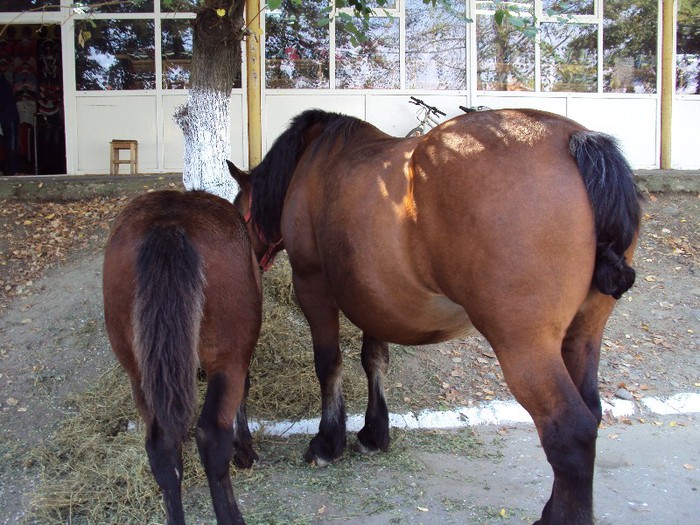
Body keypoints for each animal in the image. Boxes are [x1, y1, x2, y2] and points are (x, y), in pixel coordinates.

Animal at [105, 191, 264, 524]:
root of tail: (169, 227)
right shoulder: (237, 358)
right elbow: (244, 393)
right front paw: (244, 450)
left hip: (139, 373)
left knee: (162, 448)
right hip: (227, 360)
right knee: (212, 437)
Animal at [227, 107, 644, 524]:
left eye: (240, 210)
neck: (316, 161)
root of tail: (574, 139)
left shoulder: (312, 283)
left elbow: (328, 364)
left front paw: (328, 442)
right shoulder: (374, 296)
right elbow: (374, 359)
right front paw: (374, 433)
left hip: (526, 346)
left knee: (570, 431)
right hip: (583, 335)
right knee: (591, 411)